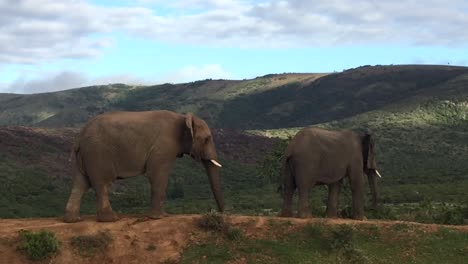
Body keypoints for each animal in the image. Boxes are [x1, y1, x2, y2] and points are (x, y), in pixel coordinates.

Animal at [64, 109, 225, 223]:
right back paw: (110, 219)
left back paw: (72, 220)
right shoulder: (163, 146)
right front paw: (159, 217)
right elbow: (158, 175)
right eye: (207, 139)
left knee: (80, 183)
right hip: (97, 153)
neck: (183, 117)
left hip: (85, 155)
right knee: (102, 183)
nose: (221, 213)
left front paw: (162, 215)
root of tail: (80, 135)